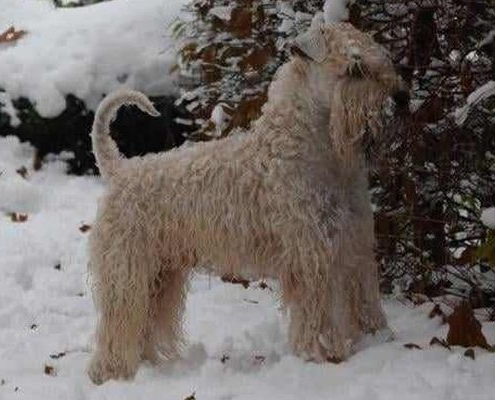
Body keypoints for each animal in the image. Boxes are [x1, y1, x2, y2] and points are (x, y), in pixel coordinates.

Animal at [87, 20, 408, 382]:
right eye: (354, 68)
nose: (402, 97)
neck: (318, 152)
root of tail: (119, 169)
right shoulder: (311, 256)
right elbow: (318, 312)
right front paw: (326, 353)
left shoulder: (355, 245)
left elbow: (364, 298)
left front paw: (377, 337)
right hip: (127, 270)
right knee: (119, 323)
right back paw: (111, 372)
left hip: (161, 273)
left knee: (146, 323)